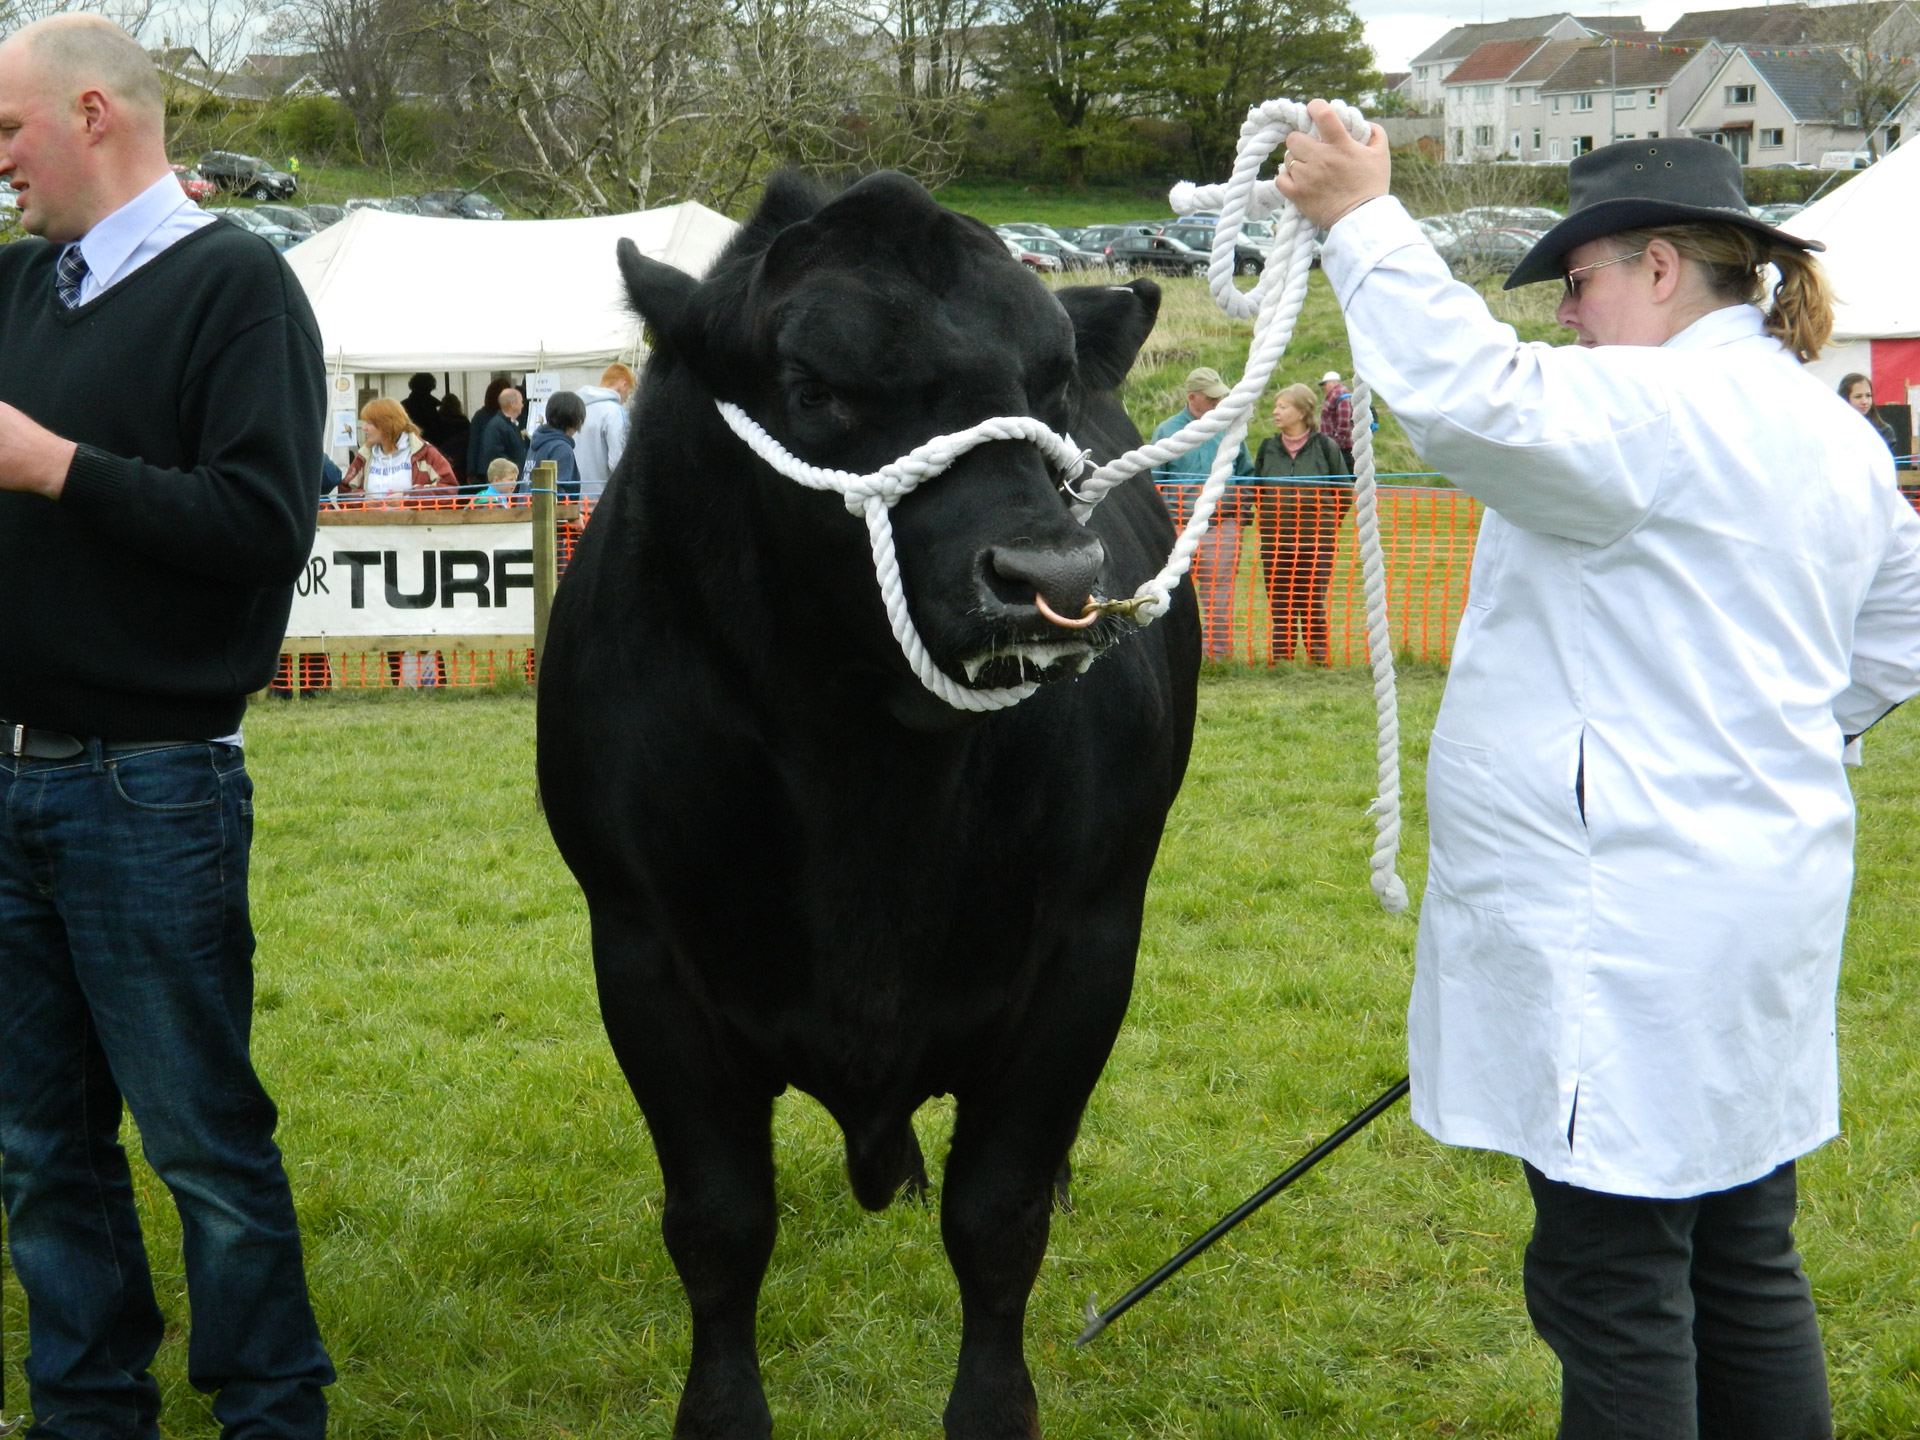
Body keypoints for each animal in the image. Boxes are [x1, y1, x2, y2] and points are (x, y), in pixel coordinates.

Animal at [537, 171, 1198, 1440]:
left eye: (1048, 387)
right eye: (813, 390)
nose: (1049, 579)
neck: (867, 774)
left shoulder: (1088, 947)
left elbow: (998, 1218)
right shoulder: (640, 955)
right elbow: (718, 1224)